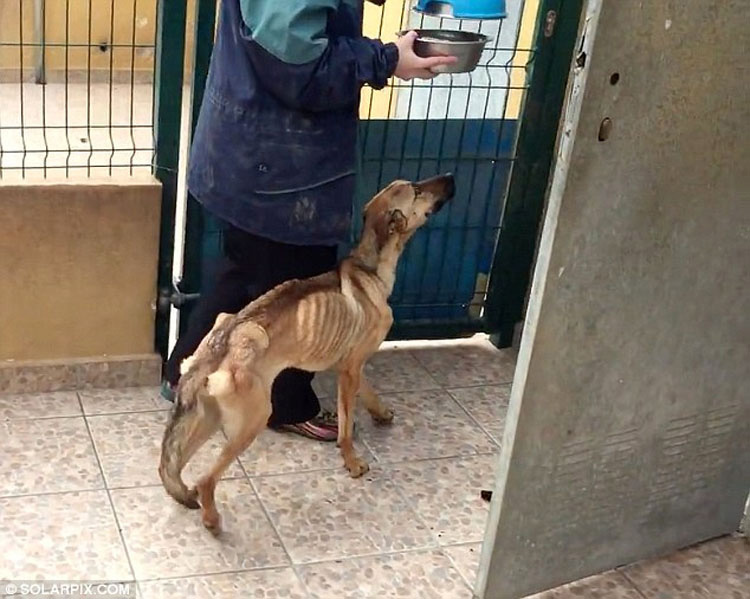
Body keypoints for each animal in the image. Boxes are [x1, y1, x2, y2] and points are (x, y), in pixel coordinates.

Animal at [159, 175, 458, 536]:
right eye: (416, 190)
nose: (451, 179)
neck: (369, 265)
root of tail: (220, 345)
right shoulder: (349, 371)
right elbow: (346, 428)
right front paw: (352, 462)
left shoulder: (353, 364)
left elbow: (369, 391)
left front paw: (381, 413)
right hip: (252, 419)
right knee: (206, 479)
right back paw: (211, 519)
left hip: (206, 419)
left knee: (176, 469)